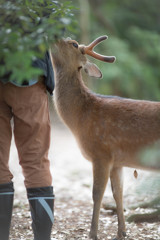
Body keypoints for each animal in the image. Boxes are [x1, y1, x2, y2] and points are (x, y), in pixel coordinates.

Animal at [49, 35, 159, 240]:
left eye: (73, 43)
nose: (52, 35)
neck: (79, 119)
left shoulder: (101, 152)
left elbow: (96, 193)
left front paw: (92, 233)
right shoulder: (117, 160)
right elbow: (118, 193)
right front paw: (121, 232)